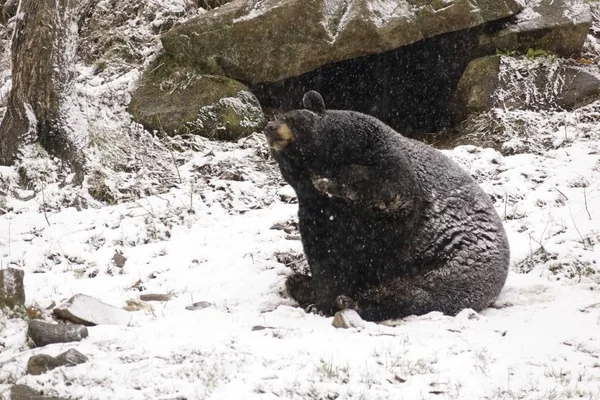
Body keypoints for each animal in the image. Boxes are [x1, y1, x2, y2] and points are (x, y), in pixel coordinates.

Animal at [264, 90, 508, 322]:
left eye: (291, 118)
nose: (269, 127)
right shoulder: (317, 211)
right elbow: (326, 256)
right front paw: (320, 303)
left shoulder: (381, 152)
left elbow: (389, 187)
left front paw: (331, 181)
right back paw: (301, 284)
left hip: (455, 263)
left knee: (421, 291)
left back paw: (353, 301)